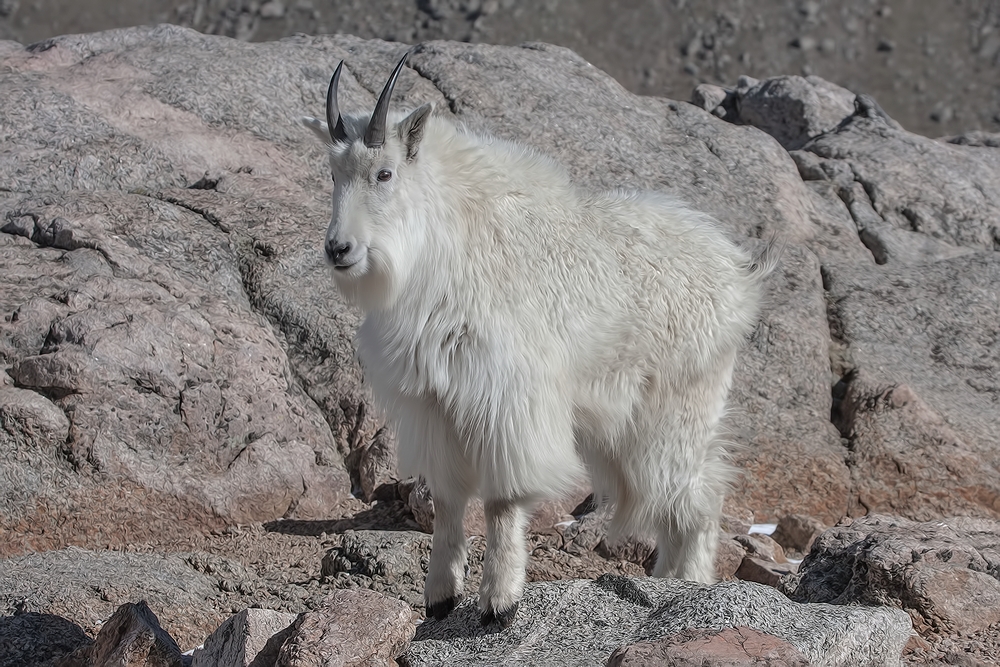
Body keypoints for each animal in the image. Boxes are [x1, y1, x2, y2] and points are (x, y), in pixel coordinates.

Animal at [300, 53, 776, 632]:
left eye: (384, 172)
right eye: (333, 173)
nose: (338, 249)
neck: (443, 247)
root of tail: (739, 276)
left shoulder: (507, 400)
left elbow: (502, 501)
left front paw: (498, 604)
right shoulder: (435, 406)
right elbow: (448, 499)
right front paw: (439, 598)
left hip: (675, 413)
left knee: (698, 497)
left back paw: (689, 588)